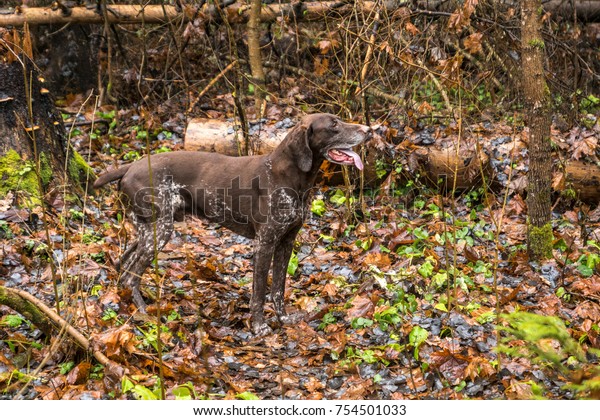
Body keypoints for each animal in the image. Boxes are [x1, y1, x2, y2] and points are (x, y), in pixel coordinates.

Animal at [94, 113, 370, 336]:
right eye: (334, 125)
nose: (369, 129)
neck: (289, 176)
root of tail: (131, 166)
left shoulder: (286, 242)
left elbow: (278, 288)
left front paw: (283, 318)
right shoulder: (264, 243)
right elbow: (259, 291)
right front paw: (259, 326)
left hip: (148, 230)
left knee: (124, 263)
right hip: (159, 231)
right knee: (131, 275)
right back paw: (144, 312)